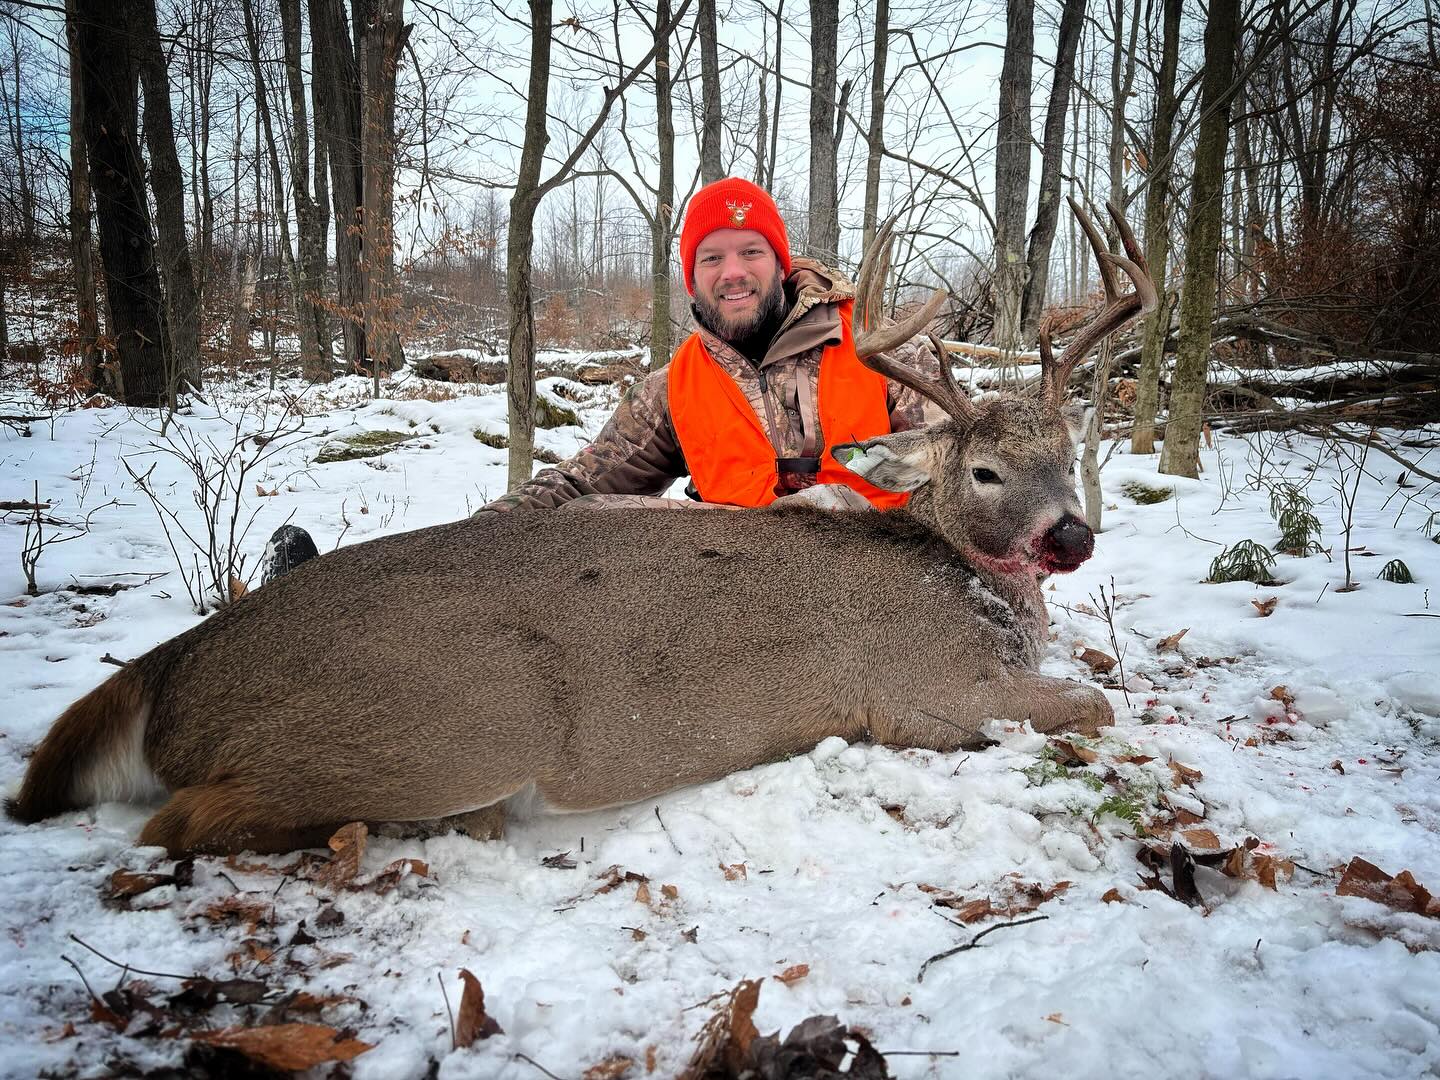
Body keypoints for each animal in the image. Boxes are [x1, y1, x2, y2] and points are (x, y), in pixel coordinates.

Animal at [6, 202, 1156, 857]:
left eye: (1069, 451)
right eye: (985, 470)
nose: (1071, 538)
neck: (973, 591)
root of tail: (166, 667)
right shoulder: (925, 694)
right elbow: (1096, 703)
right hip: (462, 724)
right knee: (177, 823)